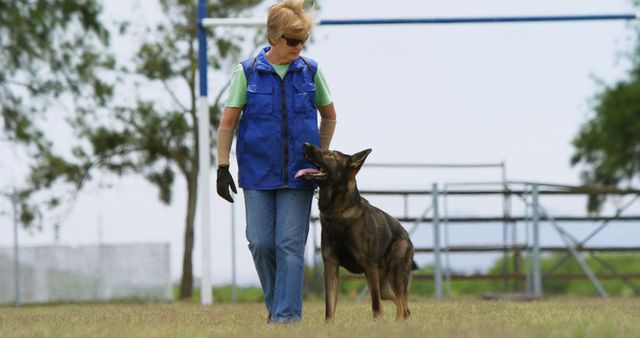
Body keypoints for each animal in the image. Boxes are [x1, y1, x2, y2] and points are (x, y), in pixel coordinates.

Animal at [298, 141, 416, 320]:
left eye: (331, 154)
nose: (305, 144)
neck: (338, 212)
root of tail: (407, 237)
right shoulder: (331, 268)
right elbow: (329, 307)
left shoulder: (369, 268)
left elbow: (376, 306)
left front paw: (378, 322)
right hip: (385, 288)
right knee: (402, 306)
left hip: (395, 275)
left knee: (402, 306)